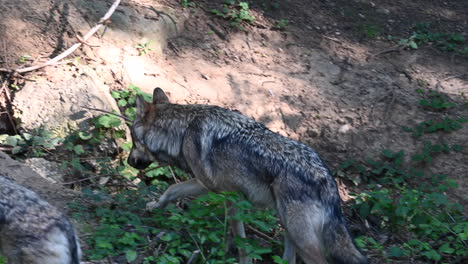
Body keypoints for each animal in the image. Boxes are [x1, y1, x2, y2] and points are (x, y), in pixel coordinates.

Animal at [128, 88, 370, 264]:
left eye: (132, 140)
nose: (129, 162)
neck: (183, 130)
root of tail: (326, 178)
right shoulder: (221, 194)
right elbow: (172, 191)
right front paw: (154, 206)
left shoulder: (222, 192)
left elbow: (240, 240)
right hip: (288, 227)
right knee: (289, 260)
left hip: (300, 237)